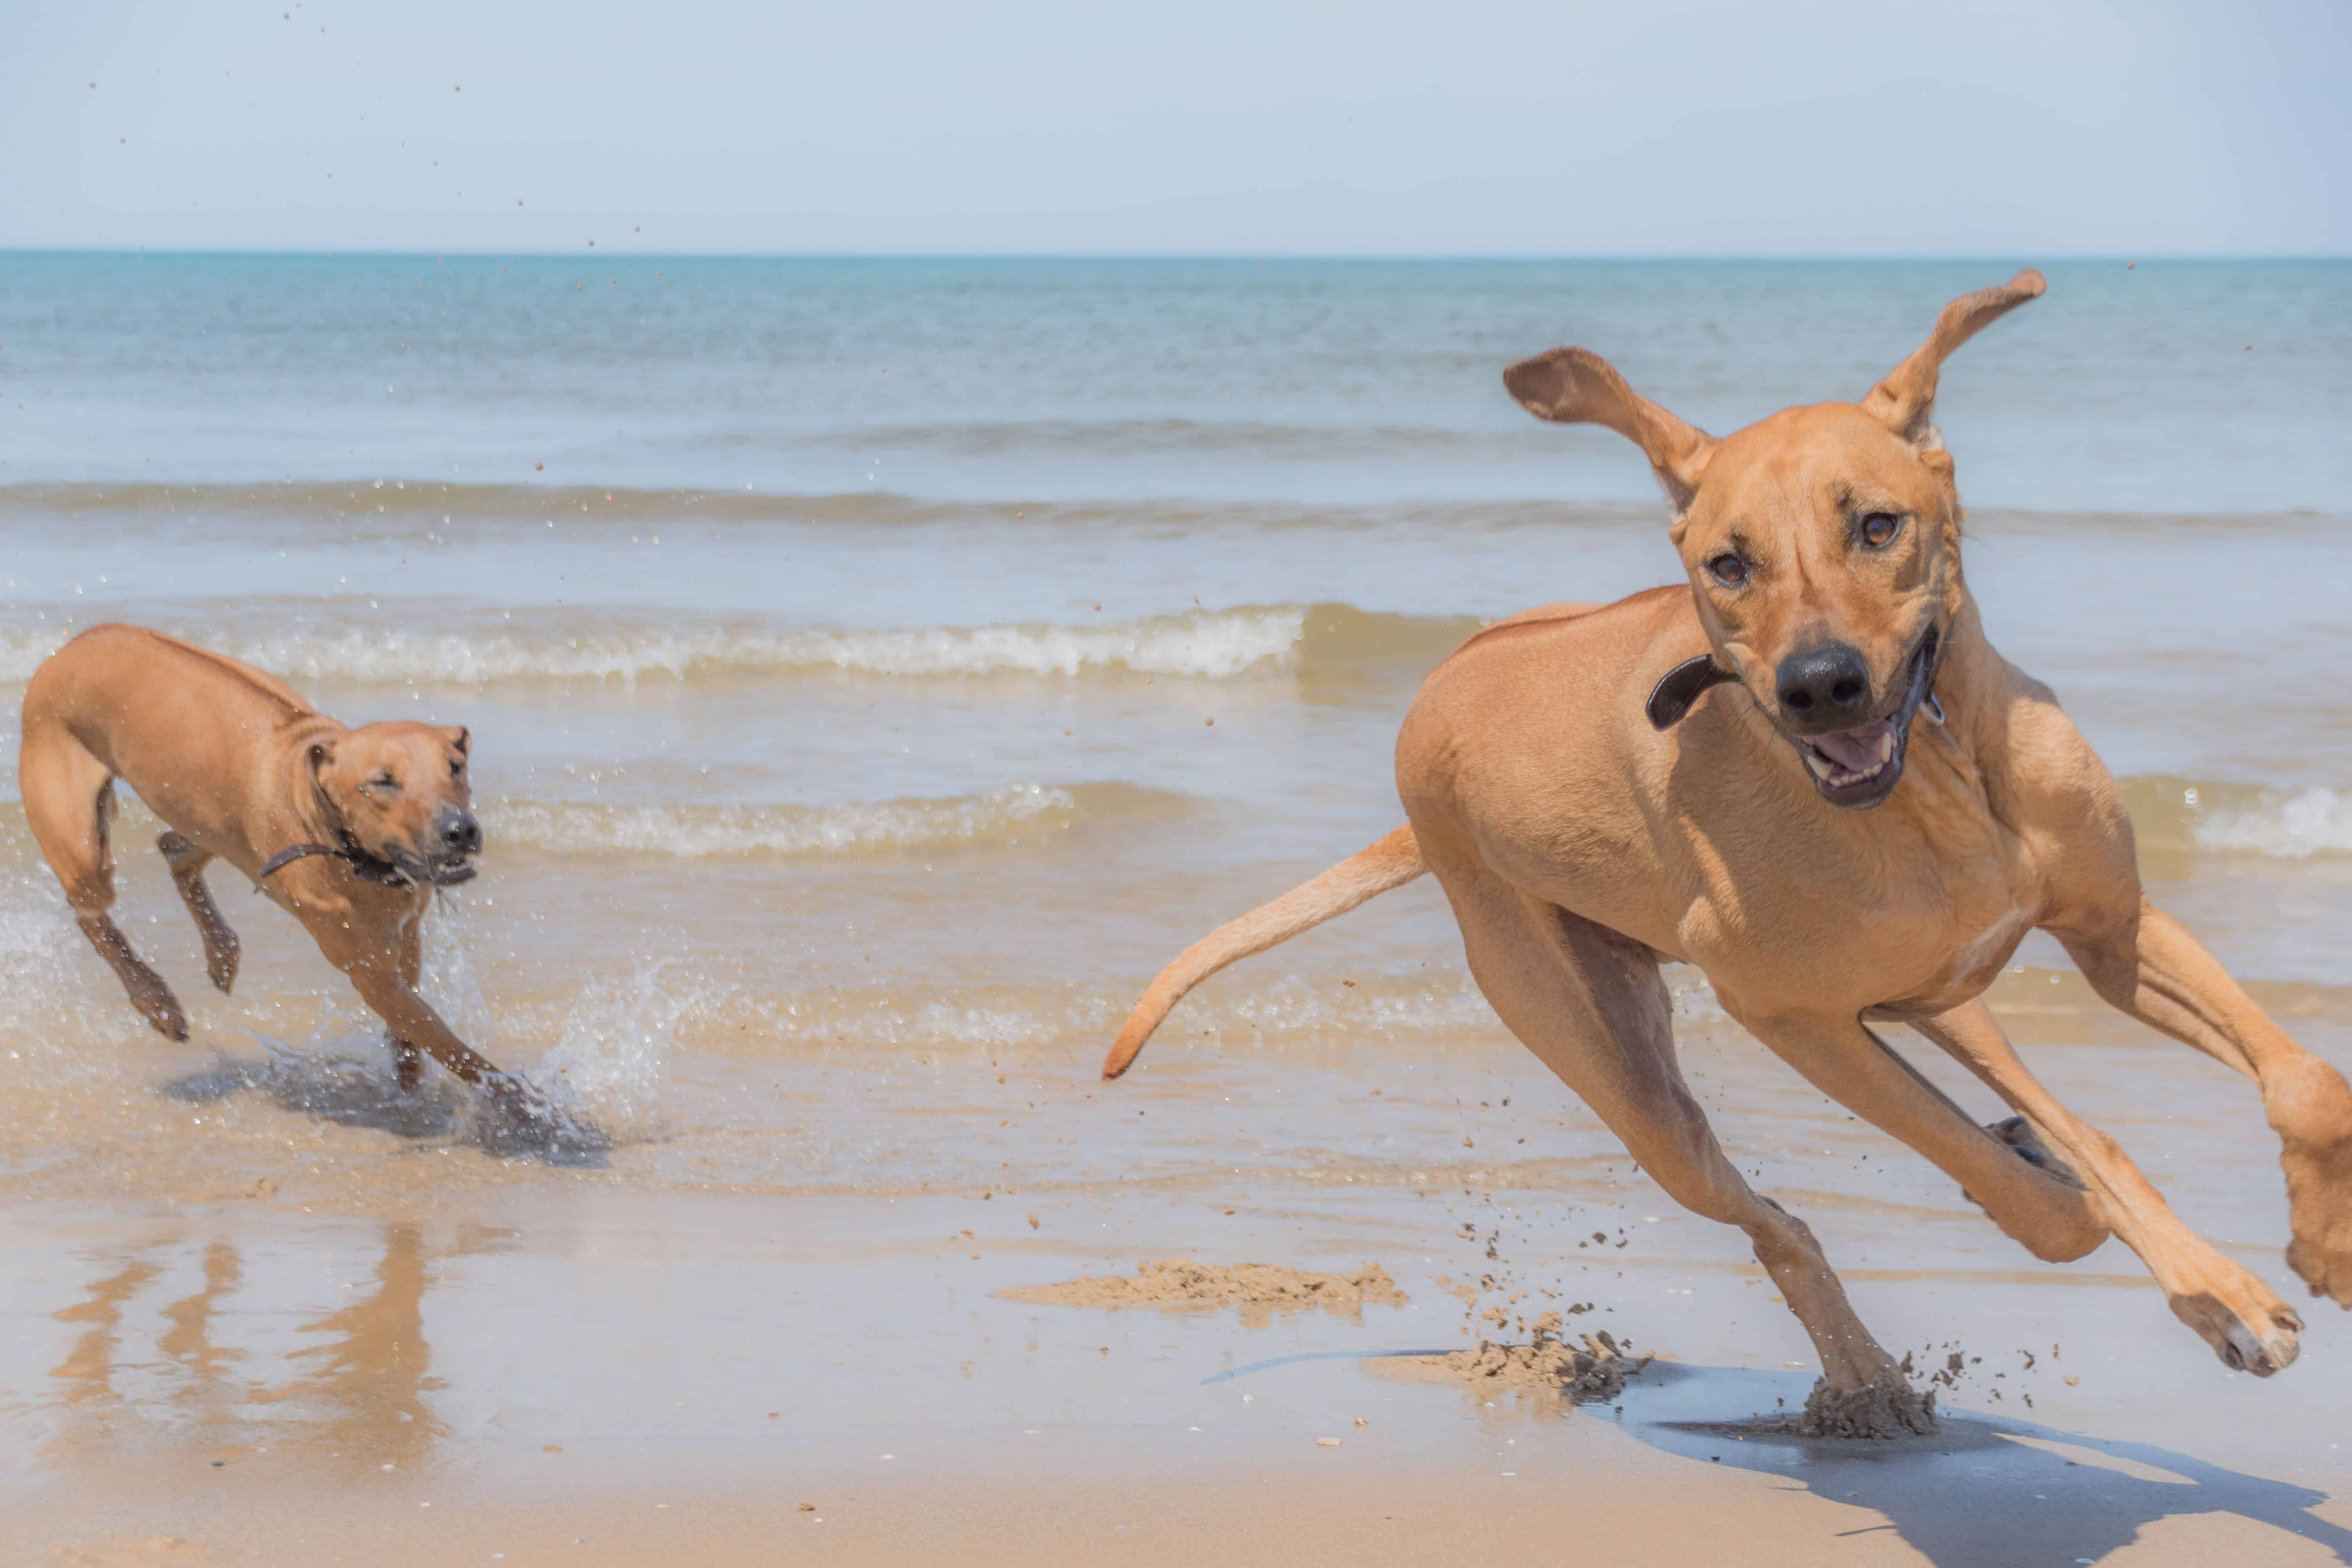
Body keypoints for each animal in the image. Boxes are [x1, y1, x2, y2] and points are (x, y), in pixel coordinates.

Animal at [19, 621, 569, 1142]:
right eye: (383, 781)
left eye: (455, 767)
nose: (461, 830)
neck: (340, 836)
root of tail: (72, 646)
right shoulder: (367, 970)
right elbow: (450, 1045)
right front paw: (524, 1107)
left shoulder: (406, 932)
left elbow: (411, 1035)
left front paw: (411, 1089)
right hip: (78, 838)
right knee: (91, 913)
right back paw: (156, 1001)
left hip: (211, 823)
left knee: (175, 849)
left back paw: (221, 951)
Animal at [1101, 272, 2352, 1439]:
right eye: (1729, 564)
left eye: (1879, 525)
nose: (1820, 685)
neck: (1942, 784)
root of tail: (1426, 728)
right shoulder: (1789, 1017)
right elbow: (2039, 1202)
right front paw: (2074, 1208)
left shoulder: (2108, 929)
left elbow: (2299, 1083)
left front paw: (2318, 1244)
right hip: (1629, 1079)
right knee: (1779, 1223)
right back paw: (1875, 1374)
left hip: (1942, 997)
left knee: (2047, 1115)